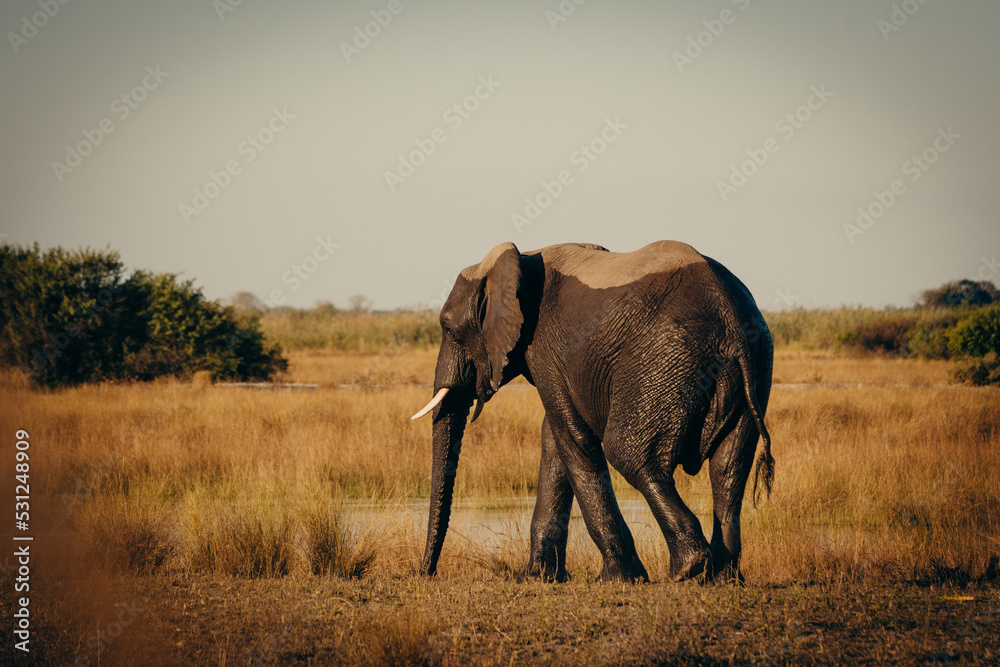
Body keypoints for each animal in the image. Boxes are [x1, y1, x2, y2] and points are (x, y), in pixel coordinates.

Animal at [411, 240, 774, 583]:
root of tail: (731, 318)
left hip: (667, 363)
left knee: (630, 454)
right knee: (729, 467)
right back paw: (723, 577)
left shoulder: (543, 345)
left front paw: (617, 579)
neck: (521, 259)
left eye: (449, 329)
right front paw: (537, 578)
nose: (425, 573)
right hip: (754, 366)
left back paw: (688, 568)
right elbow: (555, 439)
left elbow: (572, 436)